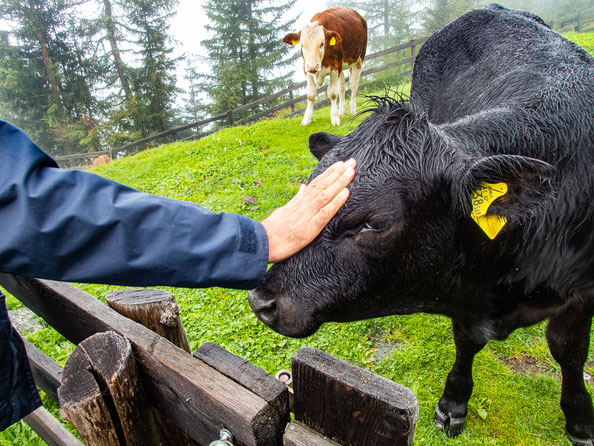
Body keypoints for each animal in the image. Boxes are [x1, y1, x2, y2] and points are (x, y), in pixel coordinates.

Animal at [247, 4, 592, 446]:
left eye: (376, 224)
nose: (262, 300)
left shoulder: (583, 291)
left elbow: (569, 349)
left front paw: (580, 418)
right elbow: (467, 341)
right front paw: (454, 402)